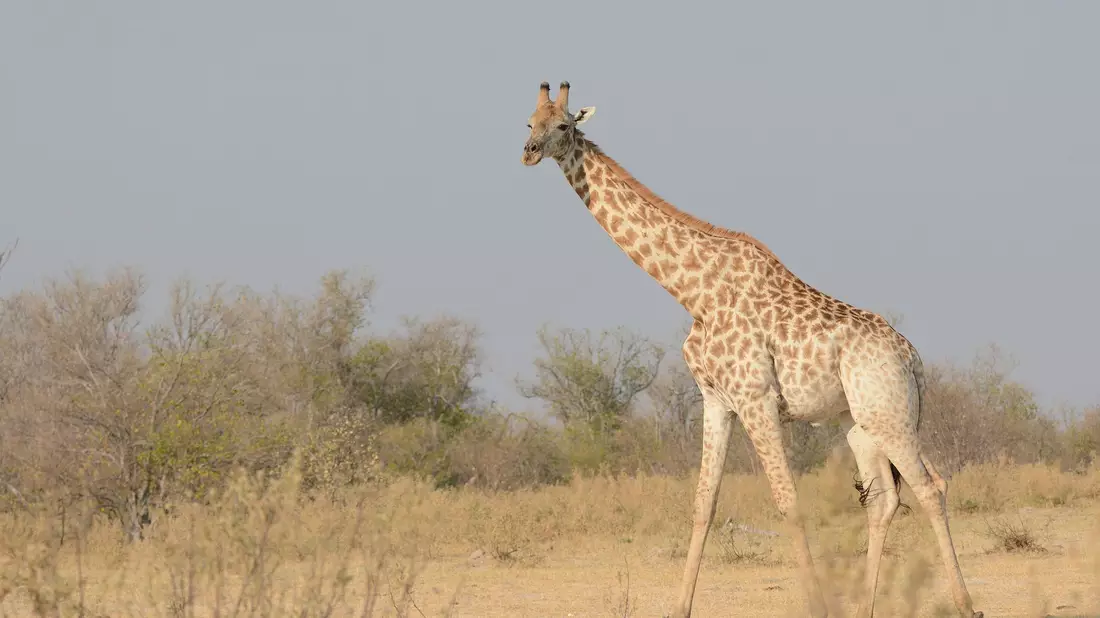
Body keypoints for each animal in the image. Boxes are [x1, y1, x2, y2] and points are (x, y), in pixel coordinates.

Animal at [520, 81, 983, 618]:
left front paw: (816, 605)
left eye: (563, 125)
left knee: (931, 487)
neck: (693, 291)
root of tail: (914, 360)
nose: (529, 152)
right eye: (528, 121)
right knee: (885, 499)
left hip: (889, 413)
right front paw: (679, 608)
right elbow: (704, 502)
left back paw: (967, 604)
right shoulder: (716, 400)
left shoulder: (757, 398)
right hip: (862, 423)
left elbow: (788, 501)